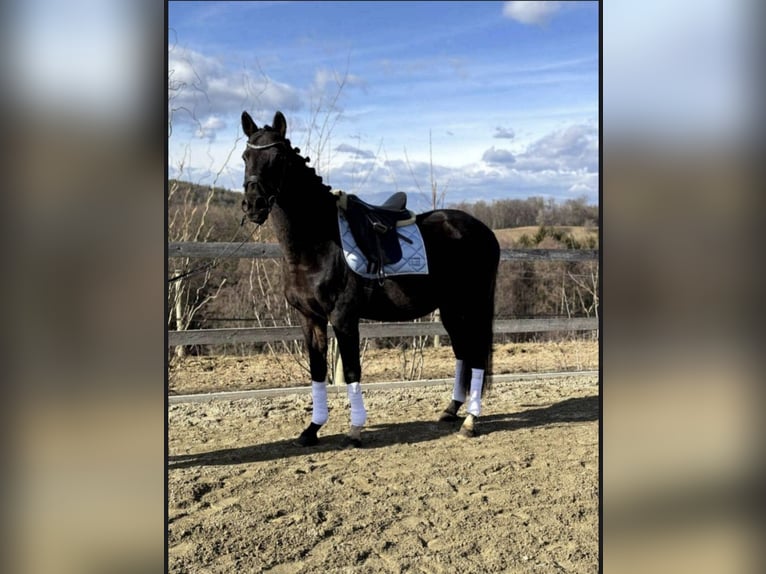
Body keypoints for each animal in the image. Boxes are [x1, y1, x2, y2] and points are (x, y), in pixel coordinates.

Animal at [240, 111, 500, 447]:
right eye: (246, 156)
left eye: (279, 158)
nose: (254, 205)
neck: (317, 244)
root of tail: (484, 231)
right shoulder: (309, 318)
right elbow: (316, 370)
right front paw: (312, 429)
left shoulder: (343, 317)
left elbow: (352, 370)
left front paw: (355, 430)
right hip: (452, 309)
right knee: (463, 352)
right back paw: (451, 409)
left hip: (474, 304)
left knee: (477, 353)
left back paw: (470, 420)